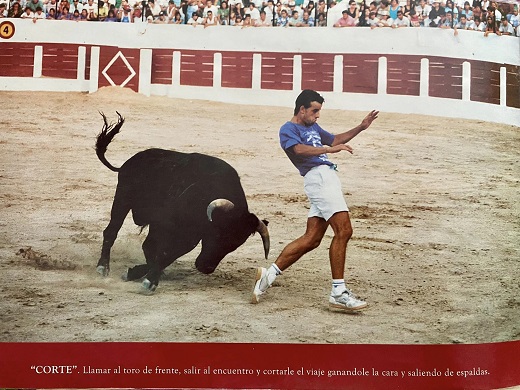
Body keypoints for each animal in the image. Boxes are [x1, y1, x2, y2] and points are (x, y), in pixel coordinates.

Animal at [95, 112, 270, 292]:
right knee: (111, 231)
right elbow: (164, 252)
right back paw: (103, 267)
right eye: (218, 233)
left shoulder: (190, 236)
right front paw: (149, 280)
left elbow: (169, 253)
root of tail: (128, 163)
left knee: (146, 245)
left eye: (236, 244)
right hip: (122, 200)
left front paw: (142, 274)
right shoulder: (172, 227)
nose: (205, 268)